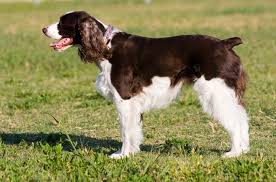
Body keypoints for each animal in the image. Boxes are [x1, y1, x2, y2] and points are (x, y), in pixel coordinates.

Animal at [42, 11, 250, 159]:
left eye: (62, 22)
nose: (43, 29)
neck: (107, 46)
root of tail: (225, 43)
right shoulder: (134, 103)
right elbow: (134, 129)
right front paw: (132, 152)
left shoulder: (124, 98)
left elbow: (125, 130)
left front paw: (123, 155)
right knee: (241, 118)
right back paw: (243, 150)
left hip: (215, 92)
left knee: (234, 121)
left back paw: (234, 153)